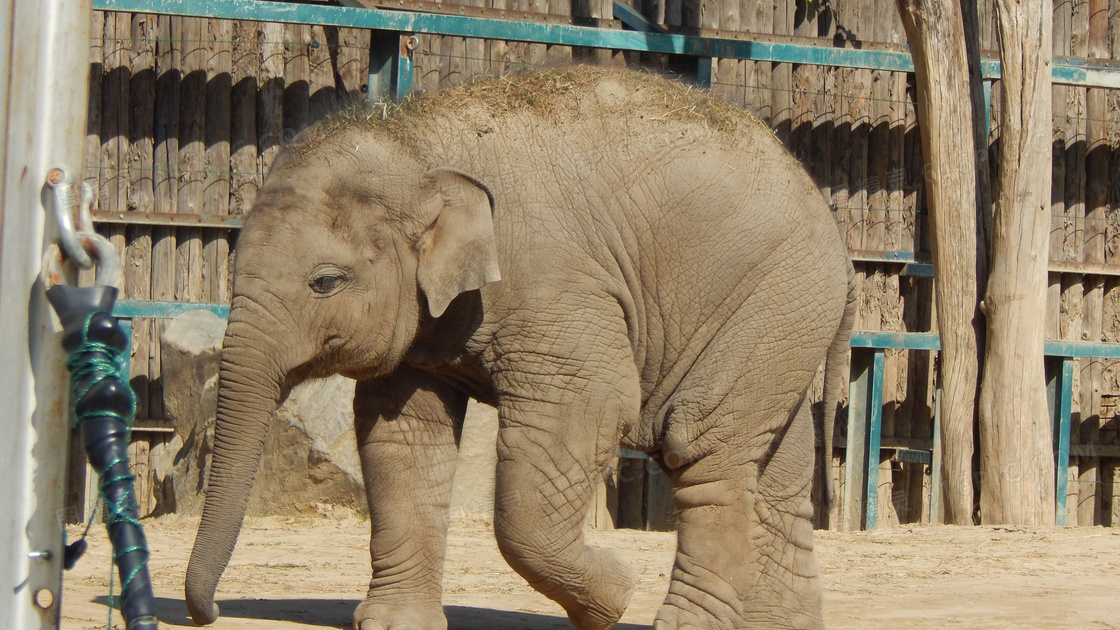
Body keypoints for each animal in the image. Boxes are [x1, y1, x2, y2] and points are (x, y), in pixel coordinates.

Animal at [185, 65, 855, 627]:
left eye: (325, 282)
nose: (208, 613)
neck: (415, 141)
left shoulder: (556, 284)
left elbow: (592, 406)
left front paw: (613, 595)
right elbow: (402, 434)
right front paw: (394, 626)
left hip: (770, 302)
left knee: (704, 452)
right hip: (781, 325)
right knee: (776, 470)